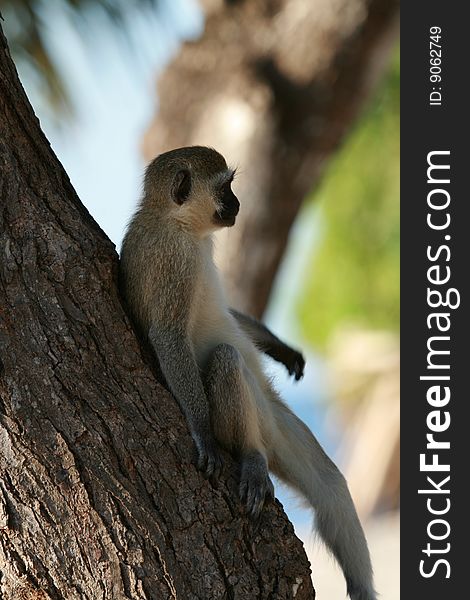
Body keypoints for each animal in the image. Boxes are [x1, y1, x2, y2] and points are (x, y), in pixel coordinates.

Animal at [119, 146, 376, 600]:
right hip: (257, 426)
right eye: (226, 188)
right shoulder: (174, 261)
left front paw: (282, 349)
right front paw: (202, 433)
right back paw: (252, 458)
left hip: (279, 425)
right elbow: (168, 336)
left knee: (331, 491)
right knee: (226, 360)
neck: (176, 223)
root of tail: (265, 432)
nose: (239, 204)